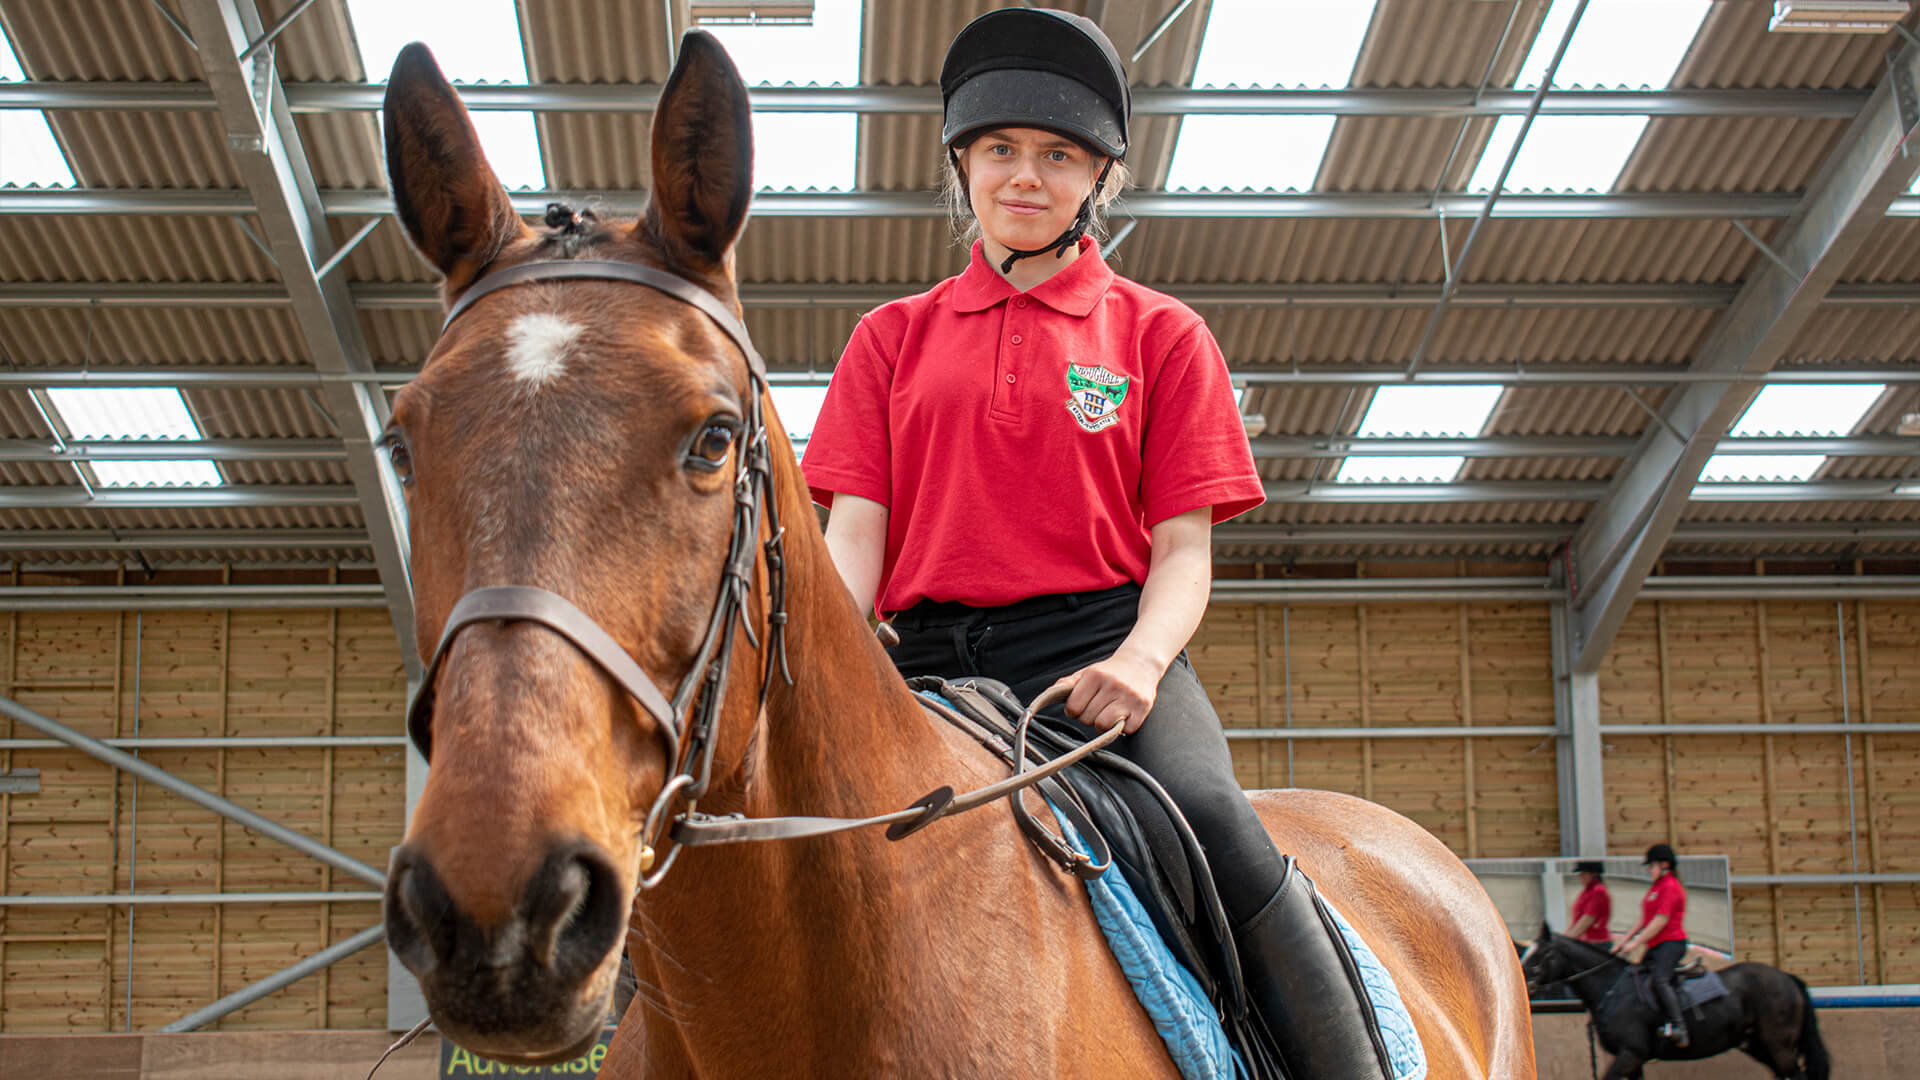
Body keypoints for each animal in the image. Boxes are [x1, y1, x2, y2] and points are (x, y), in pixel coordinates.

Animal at [1528, 922, 1827, 1068]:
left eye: (1541, 954)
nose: (1524, 982)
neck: (1610, 987)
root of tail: (1787, 977)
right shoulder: (1633, 1058)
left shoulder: (1630, 1053)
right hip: (1757, 1045)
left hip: (1780, 1046)